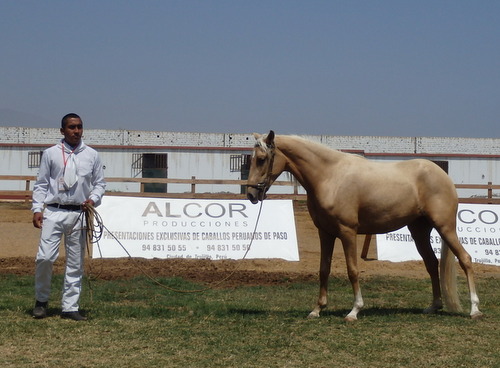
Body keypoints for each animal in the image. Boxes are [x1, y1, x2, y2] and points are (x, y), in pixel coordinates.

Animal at [246, 131, 480, 320]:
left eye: (262, 159)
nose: (250, 194)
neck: (329, 177)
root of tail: (443, 176)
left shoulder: (348, 232)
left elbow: (353, 270)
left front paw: (354, 311)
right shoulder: (325, 233)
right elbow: (323, 269)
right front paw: (317, 309)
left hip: (445, 227)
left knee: (466, 259)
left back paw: (474, 309)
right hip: (419, 231)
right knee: (431, 264)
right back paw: (434, 306)